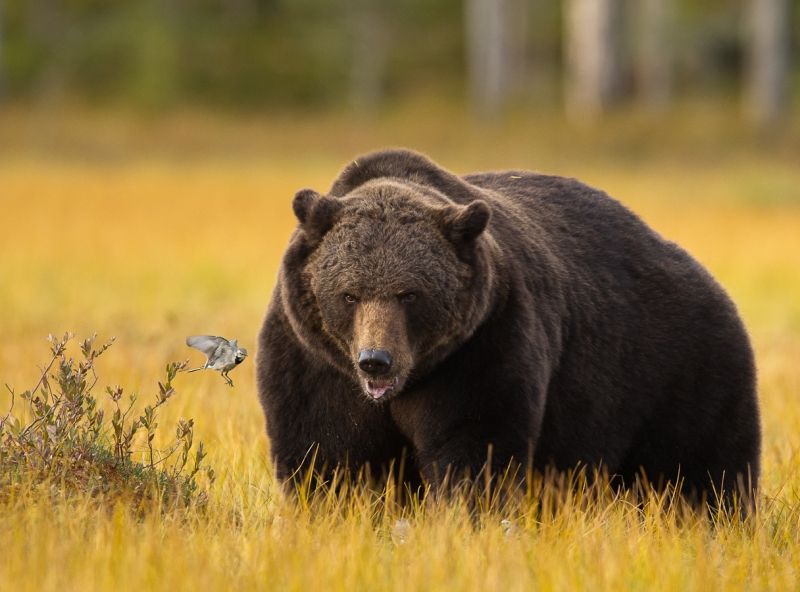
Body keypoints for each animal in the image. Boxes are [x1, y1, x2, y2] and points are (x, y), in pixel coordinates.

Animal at [258, 148, 764, 504]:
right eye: (349, 294)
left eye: (410, 294)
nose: (376, 361)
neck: (409, 383)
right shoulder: (314, 360)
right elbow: (328, 457)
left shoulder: (482, 346)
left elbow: (473, 448)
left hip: (674, 369)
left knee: (701, 472)